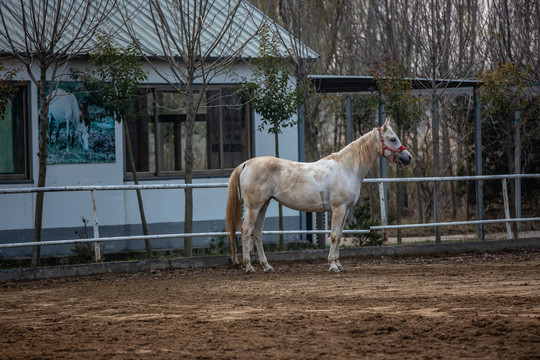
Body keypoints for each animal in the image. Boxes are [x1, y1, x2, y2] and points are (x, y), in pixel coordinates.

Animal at [226, 120, 412, 272]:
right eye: (392, 139)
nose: (408, 158)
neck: (346, 169)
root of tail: (246, 163)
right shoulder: (338, 209)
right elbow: (334, 235)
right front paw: (332, 266)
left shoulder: (345, 210)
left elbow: (340, 235)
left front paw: (339, 264)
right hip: (254, 207)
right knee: (246, 231)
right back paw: (249, 267)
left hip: (263, 205)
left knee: (257, 233)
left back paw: (267, 266)